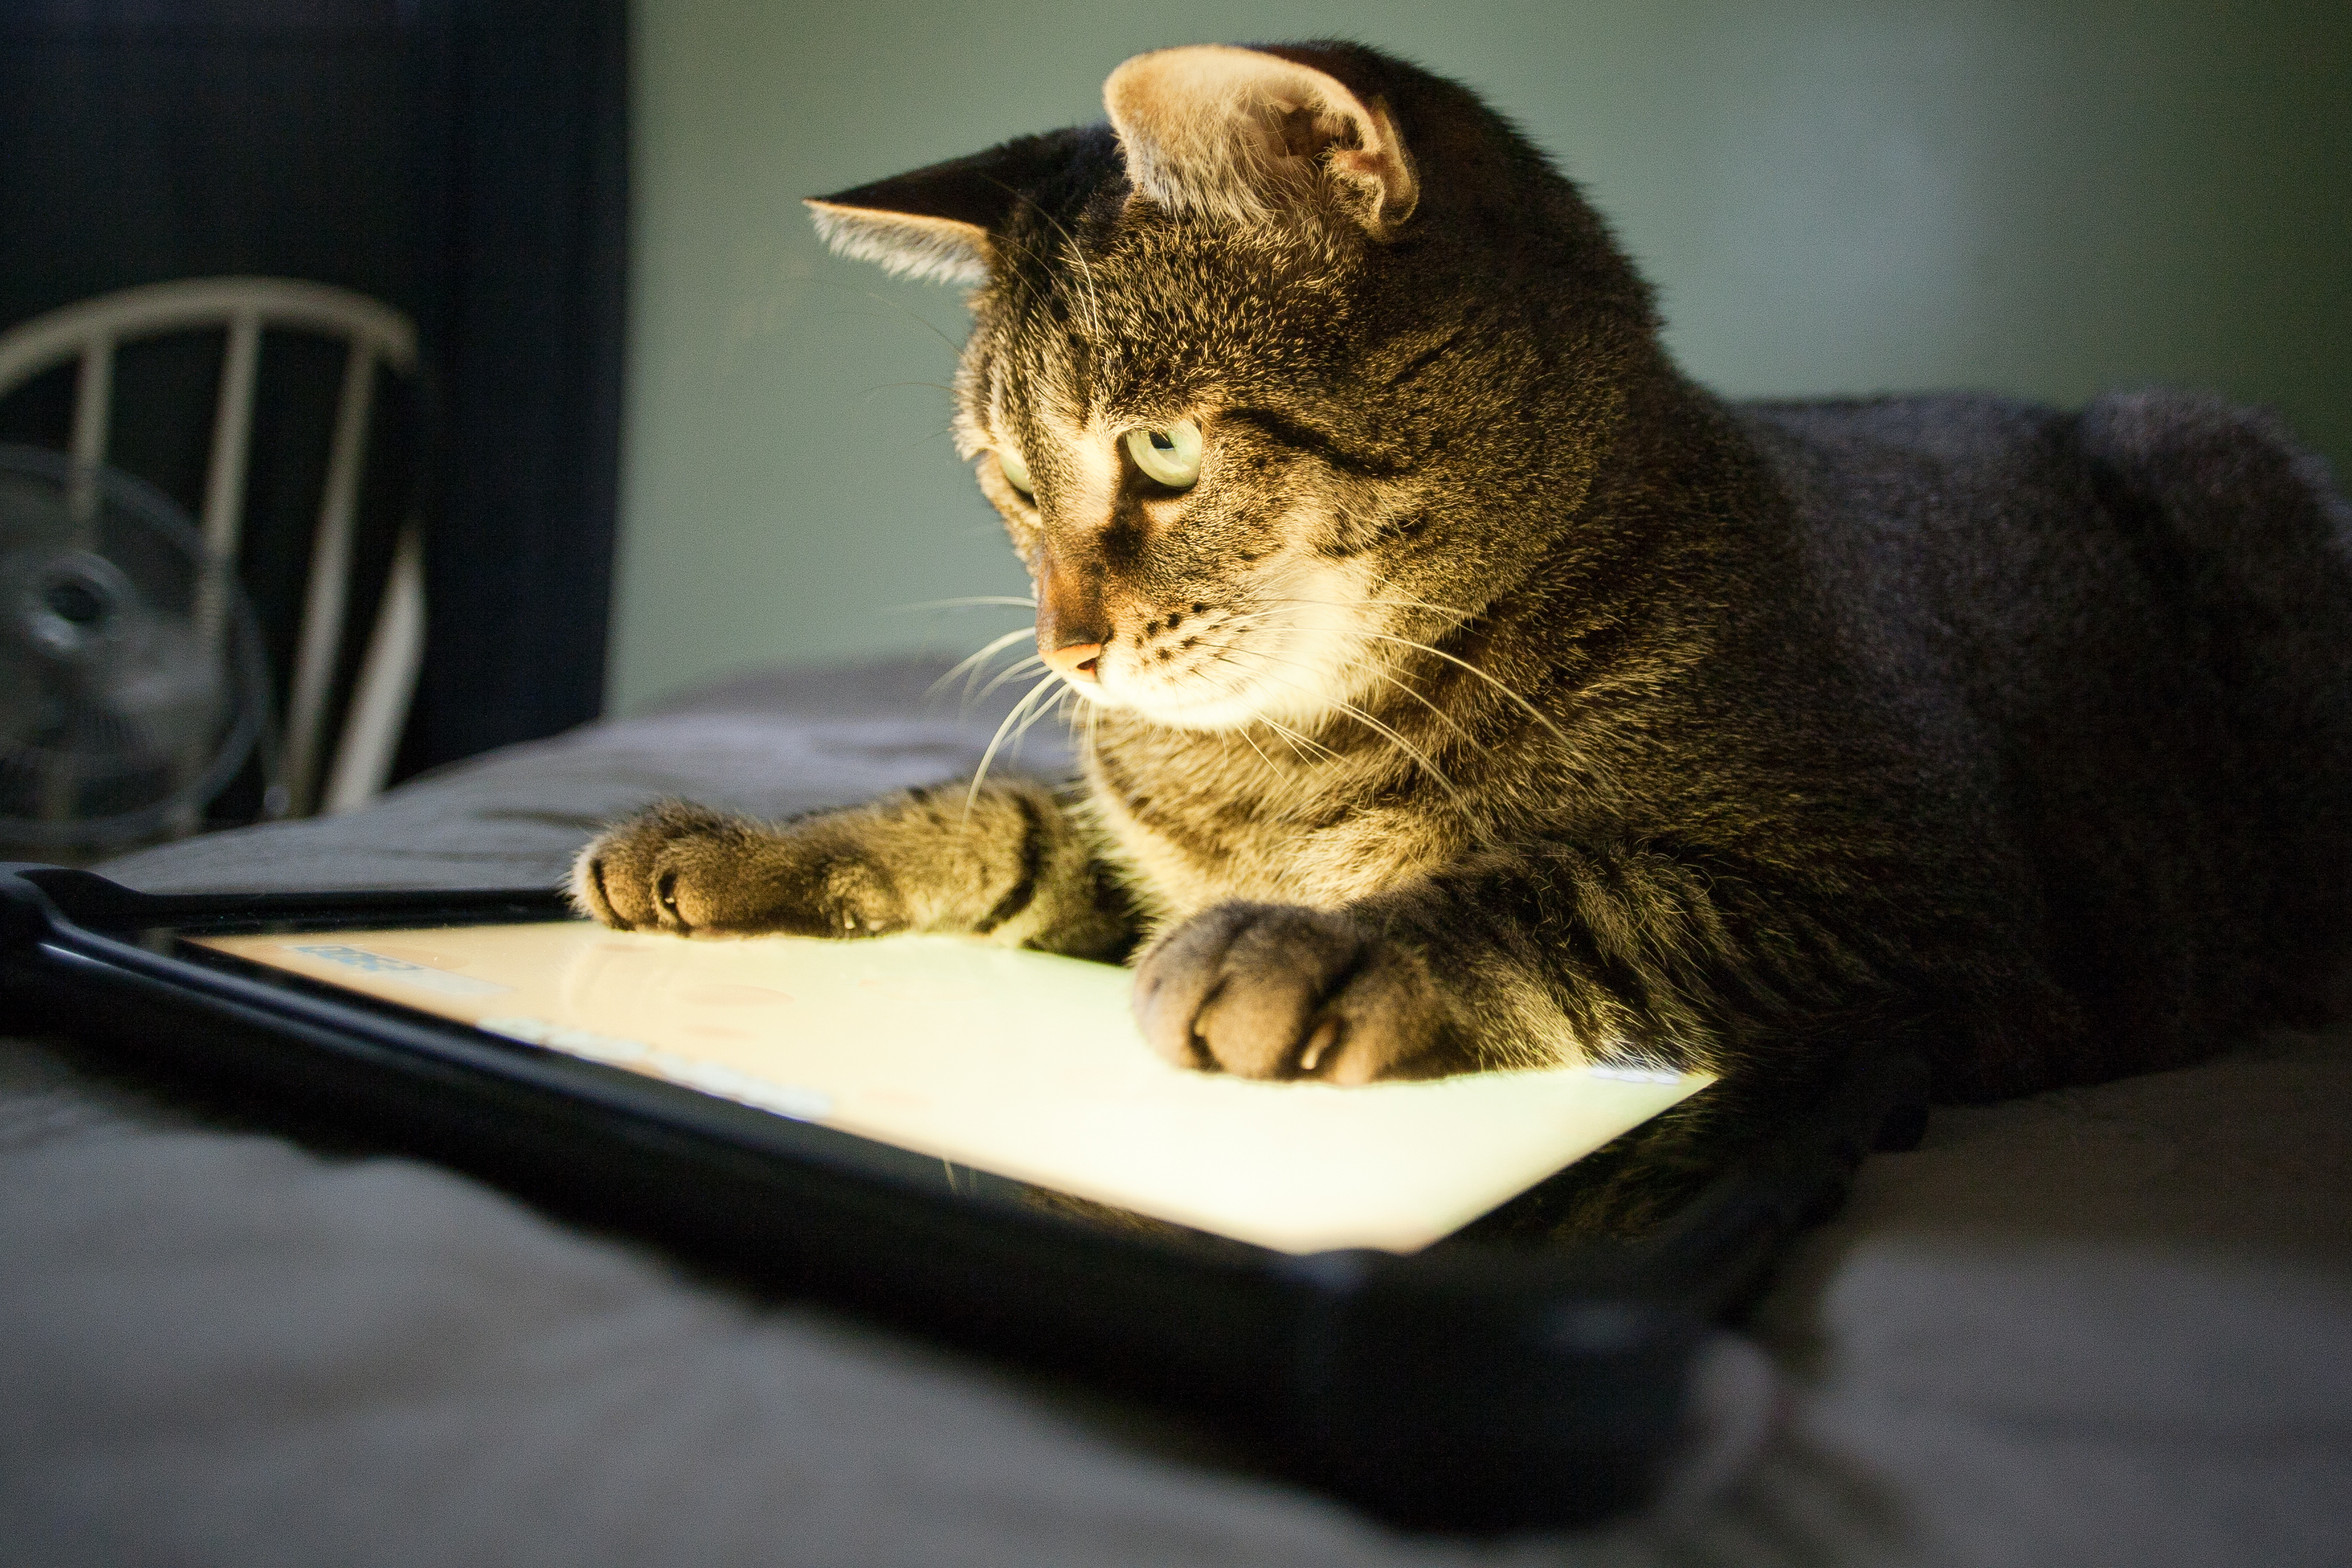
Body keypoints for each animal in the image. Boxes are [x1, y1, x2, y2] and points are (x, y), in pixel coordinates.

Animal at [569, 46, 2352, 1105]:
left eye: (1162, 452)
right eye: (1009, 478)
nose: (1066, 648)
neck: (1281, 767)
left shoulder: (1936, 923)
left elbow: (1576, 882)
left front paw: (1318, 947)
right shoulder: (1122, 850)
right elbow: (982, 817)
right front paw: (745, 847)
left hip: (2207, 460)